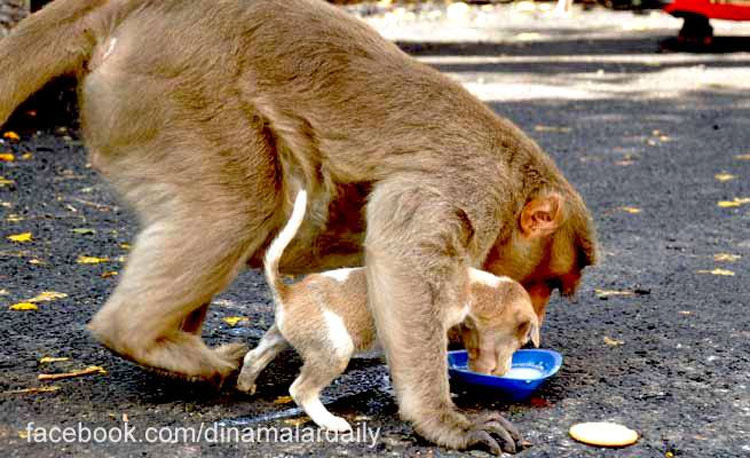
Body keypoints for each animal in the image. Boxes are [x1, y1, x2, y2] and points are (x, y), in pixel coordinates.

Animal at [238, 190, 544, 432]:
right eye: (521, 341)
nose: (505, 373)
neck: (474, 288)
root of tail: (288, 293)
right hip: (335, 349)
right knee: (300, 390)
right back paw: (330, 421)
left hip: (281, 336)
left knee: (254, 356)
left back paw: (245, 385)